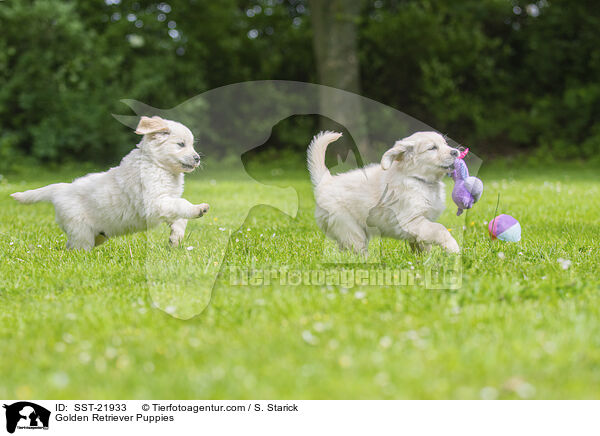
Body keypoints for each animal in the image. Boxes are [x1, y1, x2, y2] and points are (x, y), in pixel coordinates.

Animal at [310, 131, 460, 254]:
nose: (455, 152)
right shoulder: (411, 220)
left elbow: (422, 243)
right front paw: (453, 248)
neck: (417, 179)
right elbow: (439, 229)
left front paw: (424, 259)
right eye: (432, 148)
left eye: (445, 143)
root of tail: (325, 182)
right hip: (348, 227)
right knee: (356, 248)